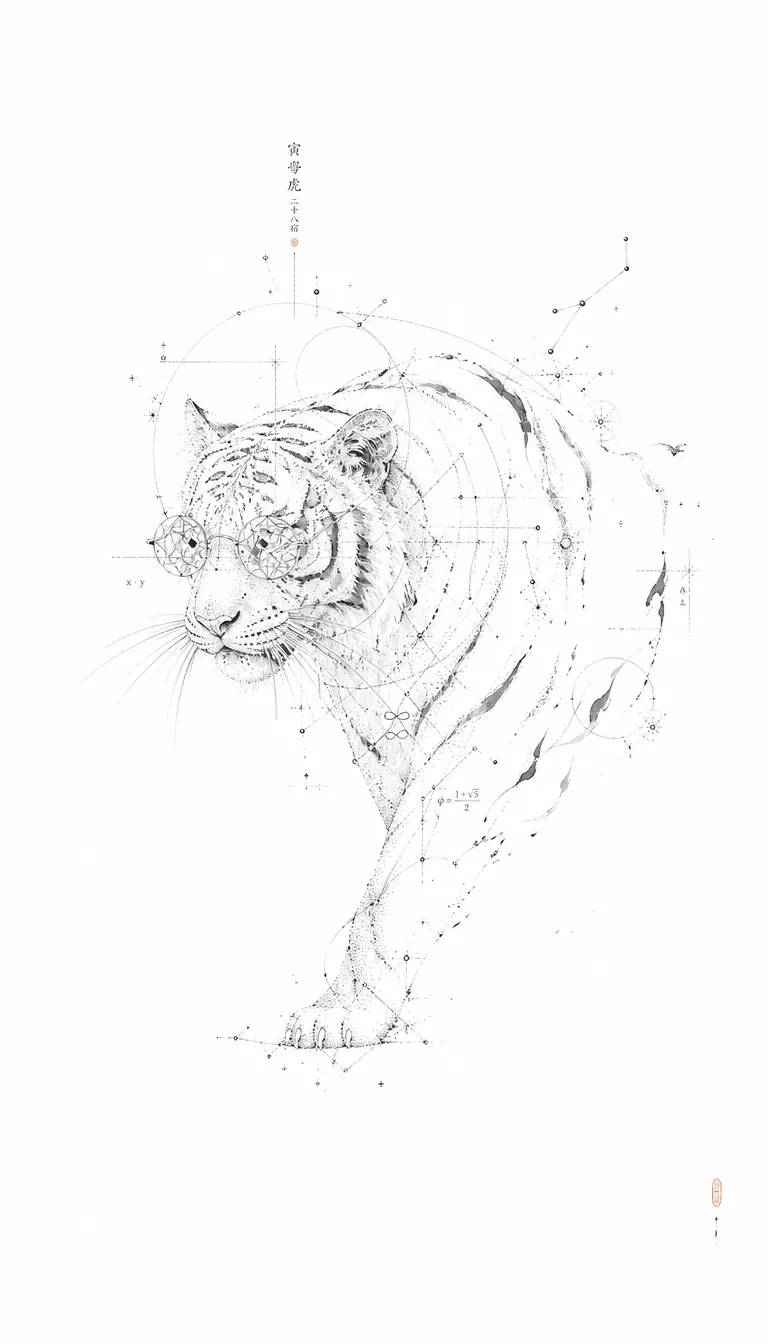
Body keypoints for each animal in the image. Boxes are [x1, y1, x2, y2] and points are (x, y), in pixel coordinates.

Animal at [153, 351, 667, 1049]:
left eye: (272, 540)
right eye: (191, 542)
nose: (212, 621)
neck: (376, 641)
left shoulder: (482, 739)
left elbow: (396, 886)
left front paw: (343, 1015)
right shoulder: (380, 744)